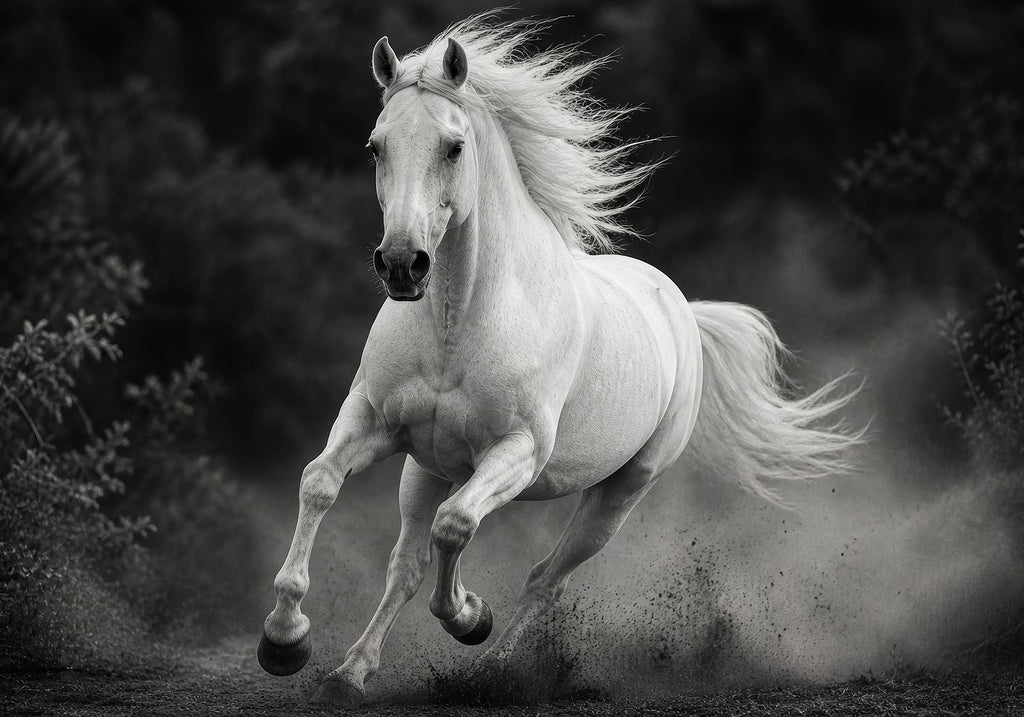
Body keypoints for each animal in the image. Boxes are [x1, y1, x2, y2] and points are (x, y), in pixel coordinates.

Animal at [257, 16, 861, 707]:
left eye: (454, 147)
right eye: (375, 146)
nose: (402, 264)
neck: (460, 319)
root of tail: (679, 309)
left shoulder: (517, 452)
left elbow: (456, 526)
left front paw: (470, 617)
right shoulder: (374, 421)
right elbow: (320, 483)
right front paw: (284, 640)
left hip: (619, 494)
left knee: (545, 578)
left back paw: (491, 672)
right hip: (426, 465)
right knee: (406, 564)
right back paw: (352, 672)